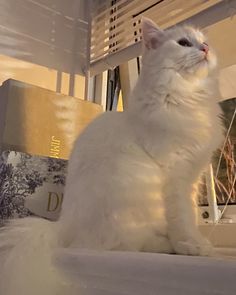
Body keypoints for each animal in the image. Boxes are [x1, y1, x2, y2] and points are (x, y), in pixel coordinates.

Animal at [0, 17, 223, 295]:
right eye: (183, 43)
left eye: (205, 42)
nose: (205, 49)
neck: (186, 96)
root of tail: (61, 226)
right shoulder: (177, 175)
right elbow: (185, 218)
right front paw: (192, 246)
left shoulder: (194, 173)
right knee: (125, 245)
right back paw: (167, 246)